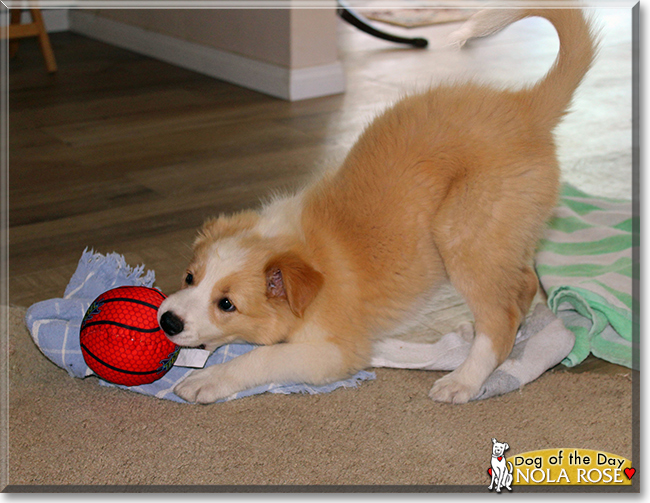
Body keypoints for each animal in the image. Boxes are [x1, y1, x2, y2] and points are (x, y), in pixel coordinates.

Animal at [159, 8, 596, 406]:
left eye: (226, 304)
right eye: (189, 277)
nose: (167, 320)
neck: (301, 253)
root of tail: (527, 108)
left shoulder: (331, 352)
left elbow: (261, 358)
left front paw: (207, 380)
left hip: (463, 231)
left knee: (500, 317)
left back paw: (464, 381)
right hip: (504, 233)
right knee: (522, 284)